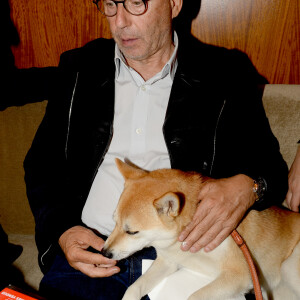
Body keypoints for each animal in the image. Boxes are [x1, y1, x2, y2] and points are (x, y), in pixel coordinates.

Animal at [102, 158, 300, 298]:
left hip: (288, 267)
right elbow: (133, 288)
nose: (104, 253)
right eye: (115, 222)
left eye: (132, 232)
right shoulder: (168, 262)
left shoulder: (241, 274)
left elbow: (194, 296)